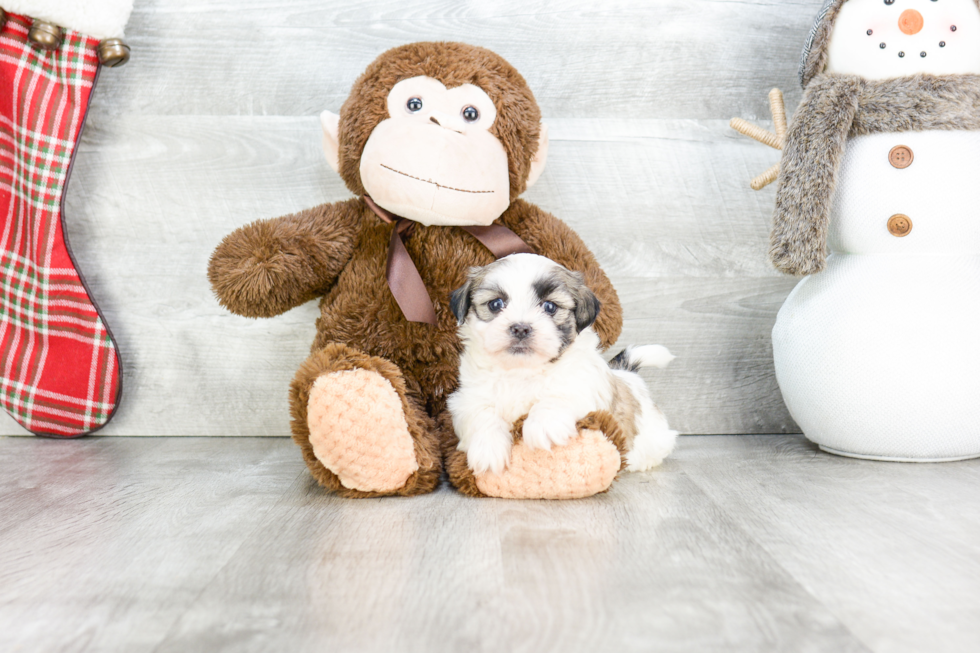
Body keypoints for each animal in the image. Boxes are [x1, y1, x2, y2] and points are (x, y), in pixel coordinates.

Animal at [448, 253, 676, 474]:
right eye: (495, 304)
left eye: (550, 307)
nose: (520, 328)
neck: (521, 370)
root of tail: (627, 374)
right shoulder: (466, 398)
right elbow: (481, 413)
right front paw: (487, 448)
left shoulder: (583, 384)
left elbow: (559, 394)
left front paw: (542, 424)